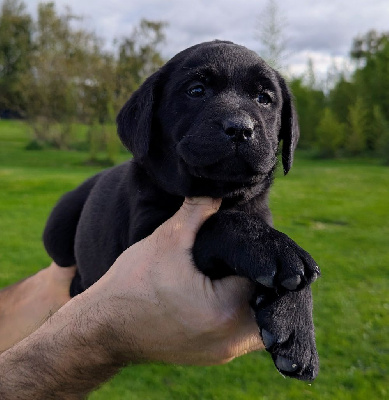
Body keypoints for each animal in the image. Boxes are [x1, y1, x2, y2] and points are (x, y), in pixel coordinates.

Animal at [44, 40, 320, 382]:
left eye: (264, 98)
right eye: (196, 90)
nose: (240, 128)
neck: (218, 193)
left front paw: (296, 326)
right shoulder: (147, 237)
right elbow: (218, 222)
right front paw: (275, 249)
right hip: (57, 229)